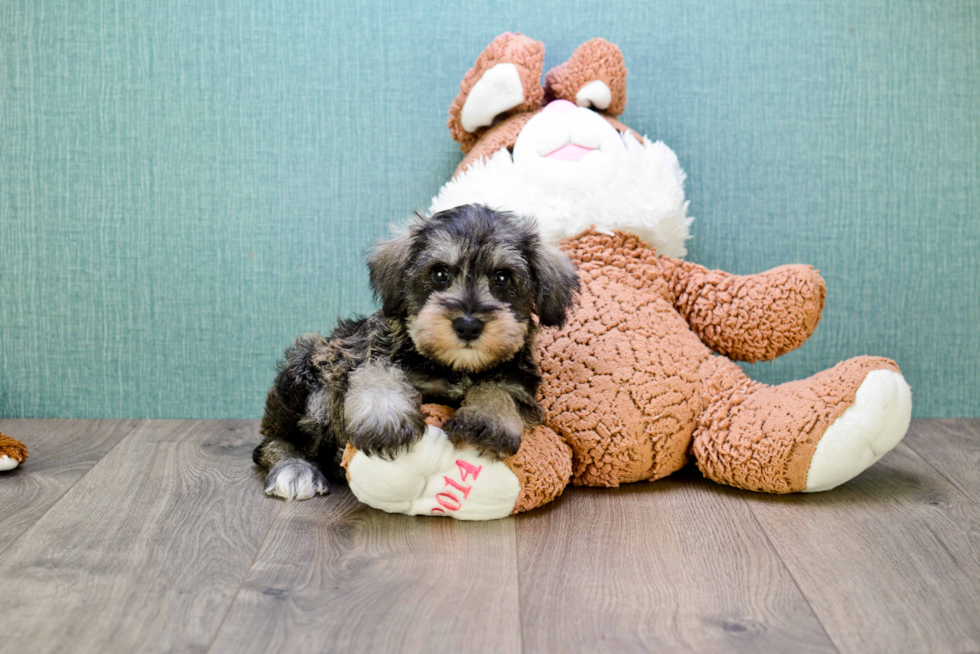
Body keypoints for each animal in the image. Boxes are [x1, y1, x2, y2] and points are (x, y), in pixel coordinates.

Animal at [249, 205, 580, 502]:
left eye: (502, 278)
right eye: (440, 273)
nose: (468, 325)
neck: (454, 367)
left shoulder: (521, 388)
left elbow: (498, 388)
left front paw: (487, 419)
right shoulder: (357, 356)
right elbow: (379, 372)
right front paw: (385, 417)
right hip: (307, 362)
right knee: (274, 442)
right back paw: (294, 469)